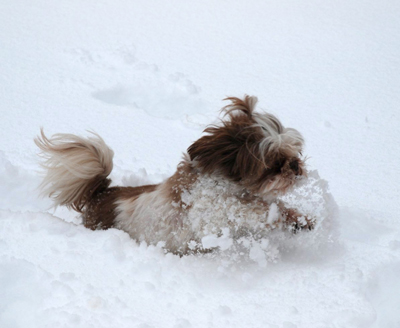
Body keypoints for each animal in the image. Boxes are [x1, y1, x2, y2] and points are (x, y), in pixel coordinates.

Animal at [35, 96, 312, 255]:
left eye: (296, 152)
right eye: (274, 163)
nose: (295, 166)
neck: (227, 184)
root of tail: (101, 194)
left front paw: (299, 220)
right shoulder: (209, 213)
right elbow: (248, 208)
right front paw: (278, 215)